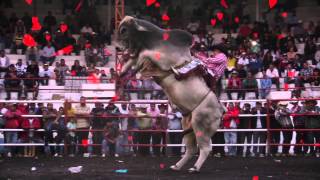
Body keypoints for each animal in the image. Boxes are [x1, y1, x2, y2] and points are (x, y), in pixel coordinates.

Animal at [117, 16, 225, 172]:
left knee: (205, 148)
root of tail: (221, 109)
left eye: (124, 30)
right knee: (191, 149)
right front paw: (122, 71)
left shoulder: (162, 59)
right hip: (188, 124)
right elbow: (134, 59)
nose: (118, 48)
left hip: (201, 124)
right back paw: (177, 165)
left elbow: (144, 55)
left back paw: (195, 168)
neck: (155, 40)